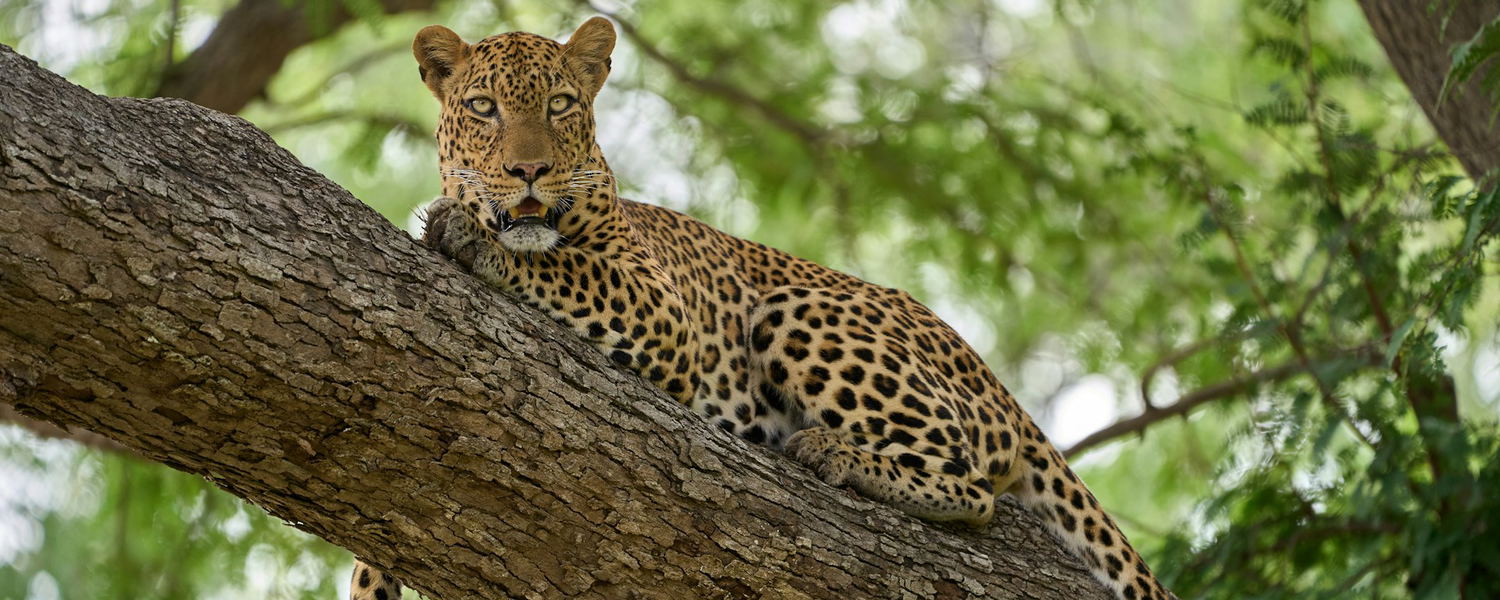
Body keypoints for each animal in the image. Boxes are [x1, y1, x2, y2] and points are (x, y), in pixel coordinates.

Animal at [349, 17, 1174, 600]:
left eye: (560, 106)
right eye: (483, 108)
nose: (528, 170)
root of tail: (999, 385)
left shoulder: (662, 312)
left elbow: (562, 265)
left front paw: (471, 238)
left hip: (797, 309)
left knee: (974, 491)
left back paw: (837, 455)